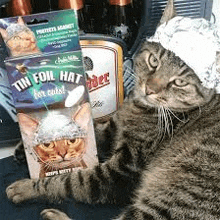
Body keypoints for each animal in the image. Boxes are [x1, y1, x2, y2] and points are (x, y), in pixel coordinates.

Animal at [5, 0, 220, 219]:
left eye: (179, 82)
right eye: (154, 61)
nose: (150, 89)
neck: (137, 107)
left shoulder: (122, 170)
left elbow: (70, 180)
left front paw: (29, 187)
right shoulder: (112, 130)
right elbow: (91, 130)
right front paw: (25, 146)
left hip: (173, 200)